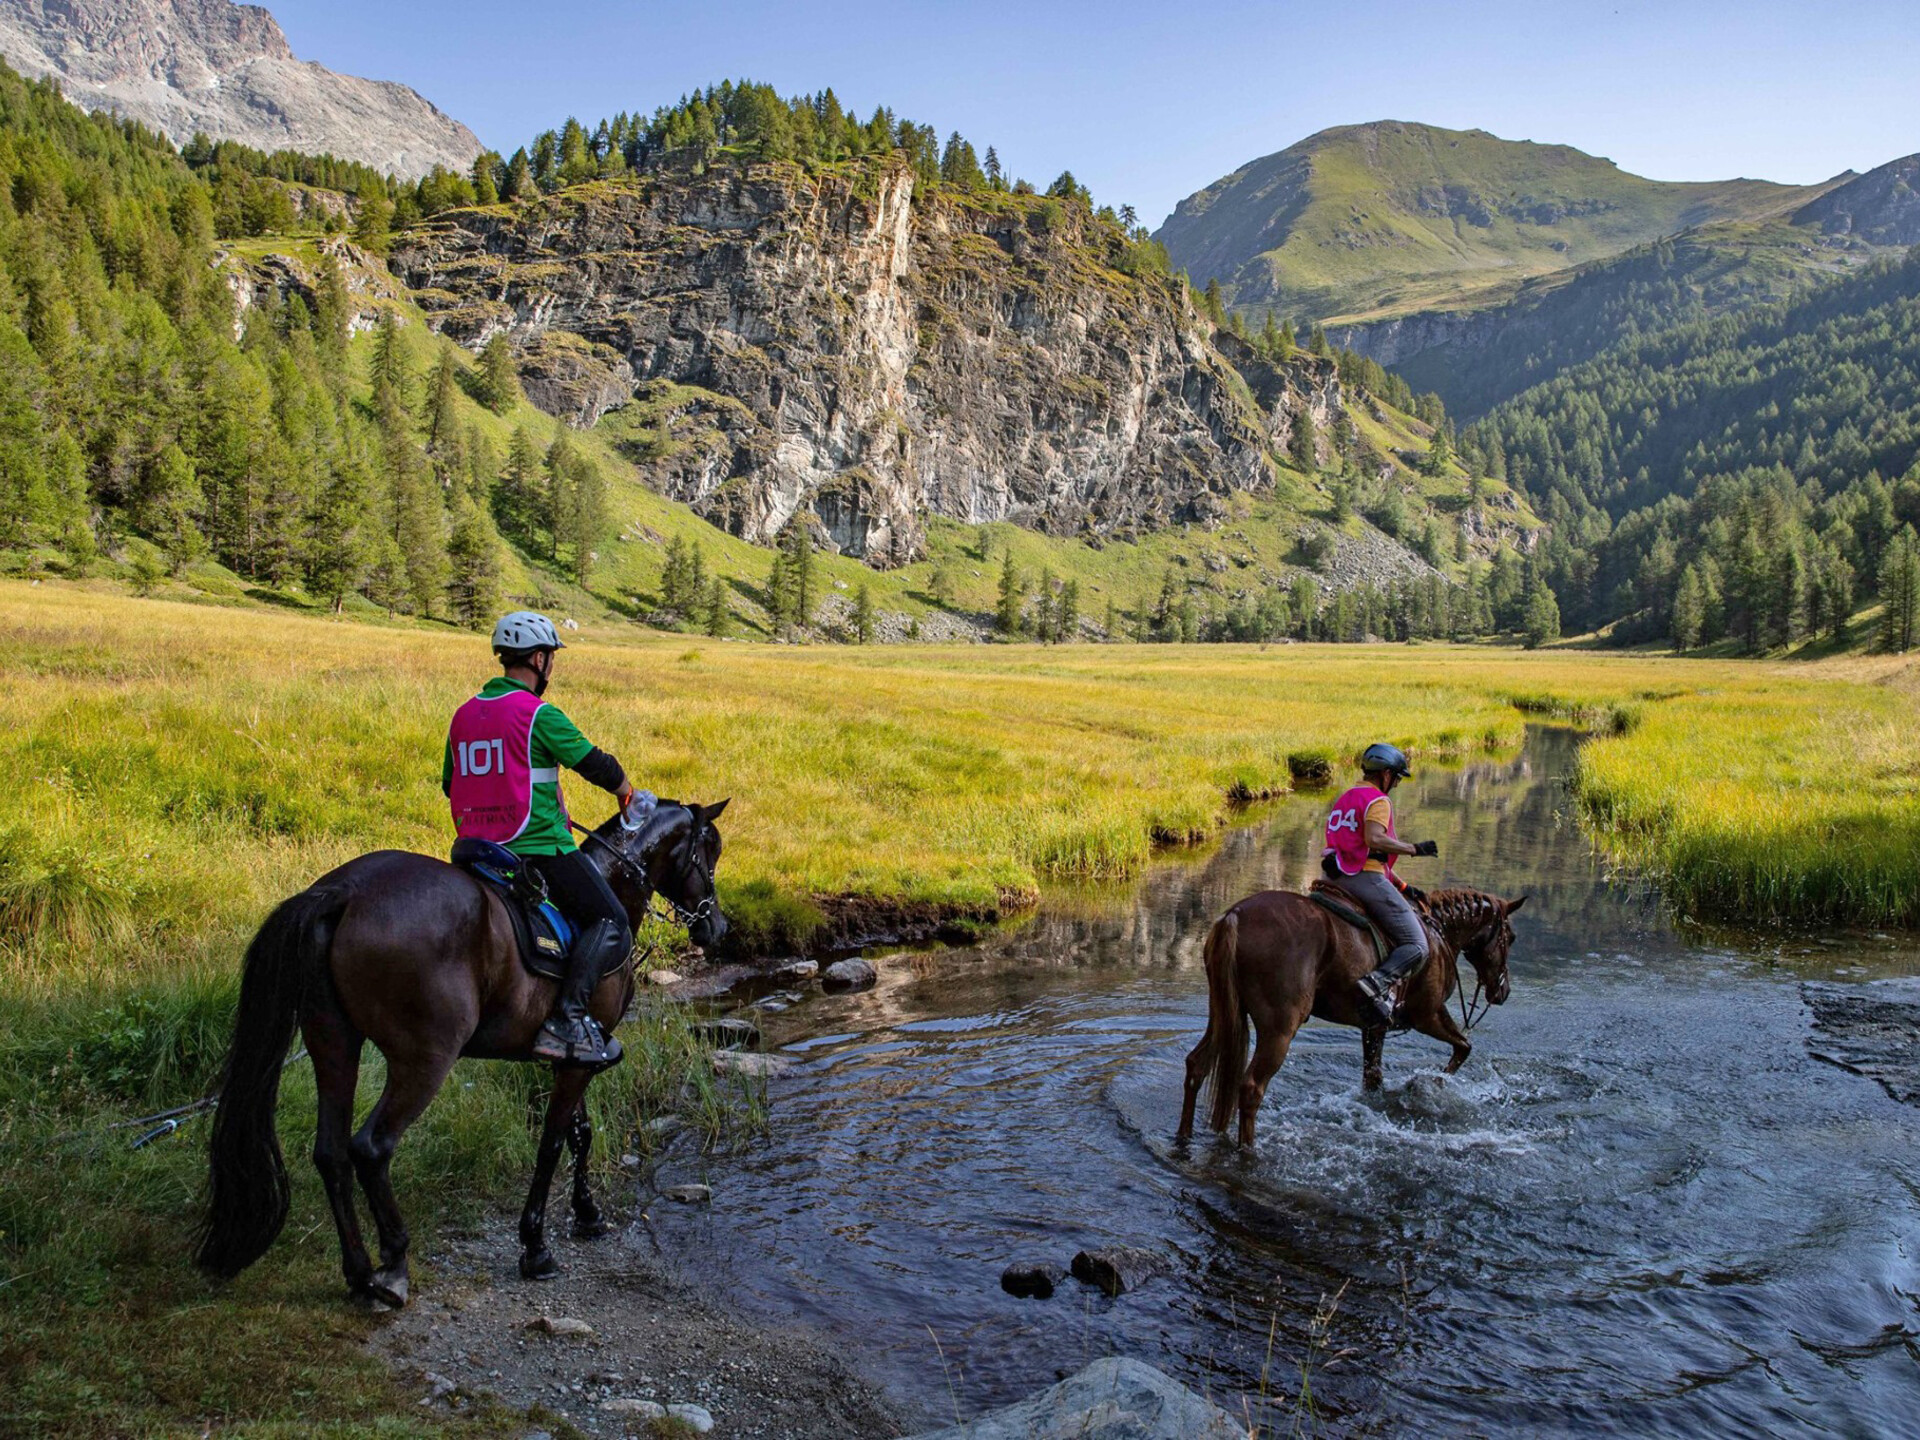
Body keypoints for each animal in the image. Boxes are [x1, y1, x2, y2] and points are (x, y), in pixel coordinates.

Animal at [194, 802, 729, 1305]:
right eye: (711, 852)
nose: (717, 927)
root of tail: (344, 891)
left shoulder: (575, 1056)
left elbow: (581, 1133)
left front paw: (587, 1213)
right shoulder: (577, 1063)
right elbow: (553, 1144)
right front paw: (535, 1246)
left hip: (333, 1044)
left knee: (330, 1153)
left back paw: (360, 1274)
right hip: (424, 1058)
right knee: (371, 1148)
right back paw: (393, 1266)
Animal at [1175, 887, 1520, 1144]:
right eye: (1511, 937)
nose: (1503, 992)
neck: (1438, 935)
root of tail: (1234, 916)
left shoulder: (1375, 1026)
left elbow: (1373, 1078)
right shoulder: (1428, 1014)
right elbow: (1463, 1047)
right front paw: (1434, 1083)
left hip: (1224, 1012)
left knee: (1197, 1065)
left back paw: (1183, 1136)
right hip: (1279, 1028)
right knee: (1250, 1089)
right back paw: (1247, 1150)